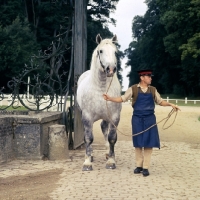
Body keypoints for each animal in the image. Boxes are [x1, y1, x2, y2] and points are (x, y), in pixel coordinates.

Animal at [77, 34, 122, 170]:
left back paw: (107, 153)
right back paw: (90, 155)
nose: (111, 69)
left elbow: (112, 138)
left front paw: (111, 161)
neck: (100, 89)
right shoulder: (87, 117)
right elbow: (88, 138)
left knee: (104, 129)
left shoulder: (114, 117)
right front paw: (87, 162)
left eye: (115, 52)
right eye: (100, 51)